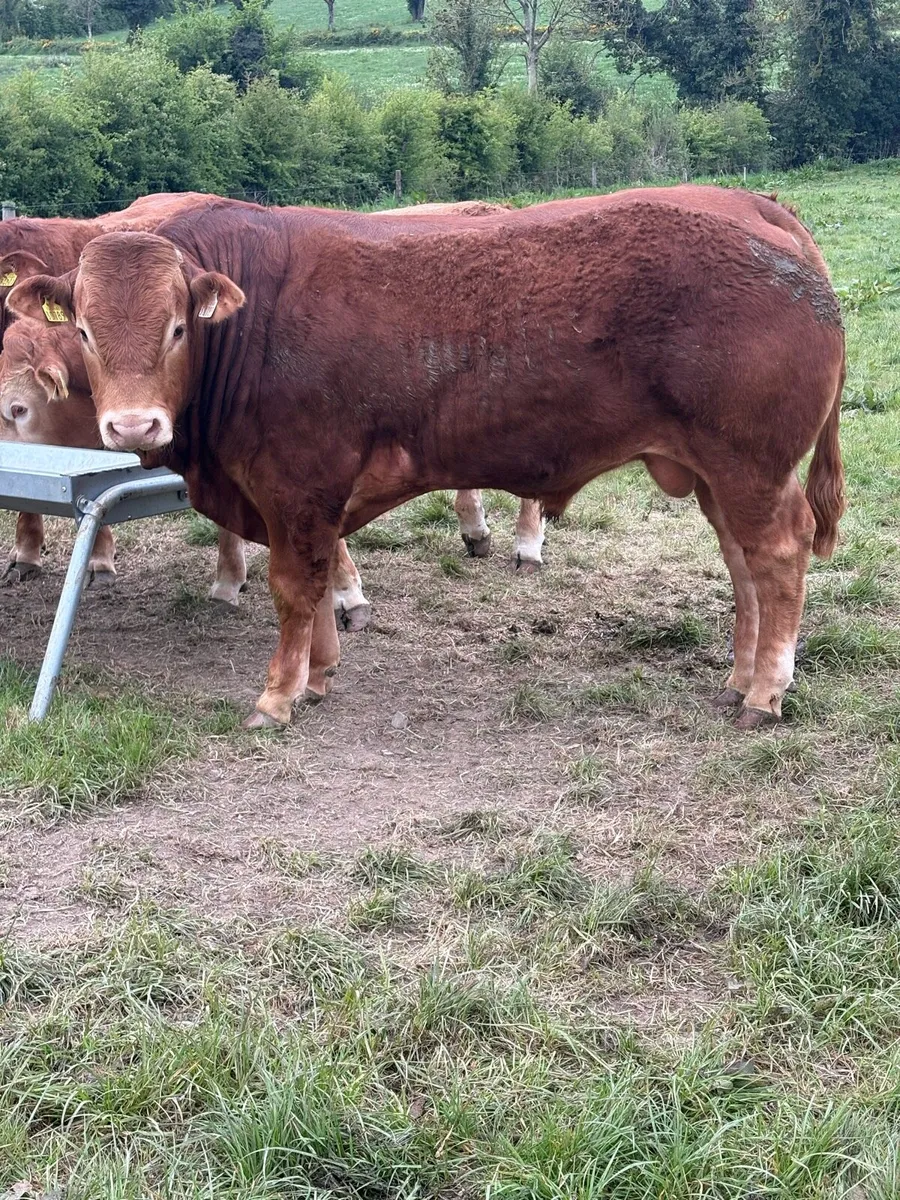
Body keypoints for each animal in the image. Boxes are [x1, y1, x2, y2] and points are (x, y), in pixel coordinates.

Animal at [10, 186, 846, 731]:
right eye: (83, 328)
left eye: (177, 326)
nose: (132, 424)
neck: (255, 324)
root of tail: (762, 218)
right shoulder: (300, 499)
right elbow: (318, 581)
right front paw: (320, 674)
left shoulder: (299, 482)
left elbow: (294, 586)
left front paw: (279, 694)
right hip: (717, 473)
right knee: (742, 565)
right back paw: (740, 676)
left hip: (752, 466)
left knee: (779, 556)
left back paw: (766, 692)